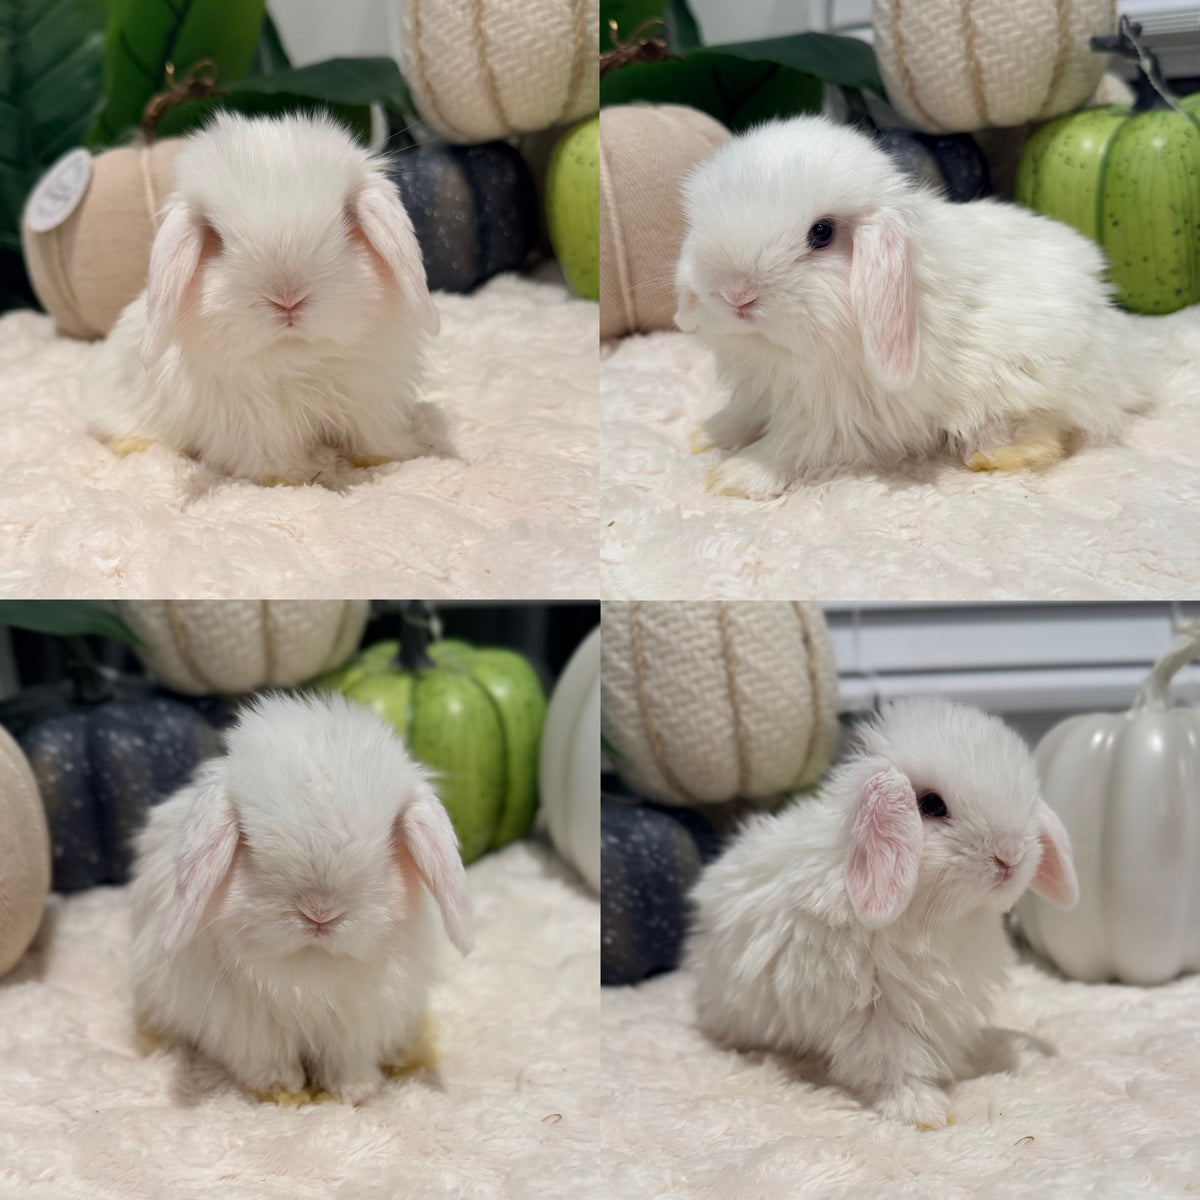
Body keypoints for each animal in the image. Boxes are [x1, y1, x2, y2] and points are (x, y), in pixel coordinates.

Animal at [82, 111, 444, 486]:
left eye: (347, 217)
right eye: (216, 237)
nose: (287, 298)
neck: (298, 359)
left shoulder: (373, 397)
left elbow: (376, 435)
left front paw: (390, 458)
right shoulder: (255, 423)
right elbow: (271, 458)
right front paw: (289, 480)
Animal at [128, 691, 473, 1105]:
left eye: (391, 836)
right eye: (247, 840)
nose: (320, 913)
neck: (311, 966)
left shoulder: (359, 1026)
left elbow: (348, 1059)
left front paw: (354, 1091)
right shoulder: (248, 1031)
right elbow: (267, 1061)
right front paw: (283, 1091)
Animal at [674, 115, 1156, 499]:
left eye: (822, 233)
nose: (737, 294)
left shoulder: (834, 418)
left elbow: (790, 445)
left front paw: (734, 475)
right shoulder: (761, 389)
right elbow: (742, 415)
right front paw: (703, 436)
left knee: (1049, 433)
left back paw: (992, 457)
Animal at [687, 697, 1078, 1128]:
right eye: (931, 805)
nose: (1009, 857)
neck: (931, 916)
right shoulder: (873, 1011)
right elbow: (893, 1061)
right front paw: (924, 1111)